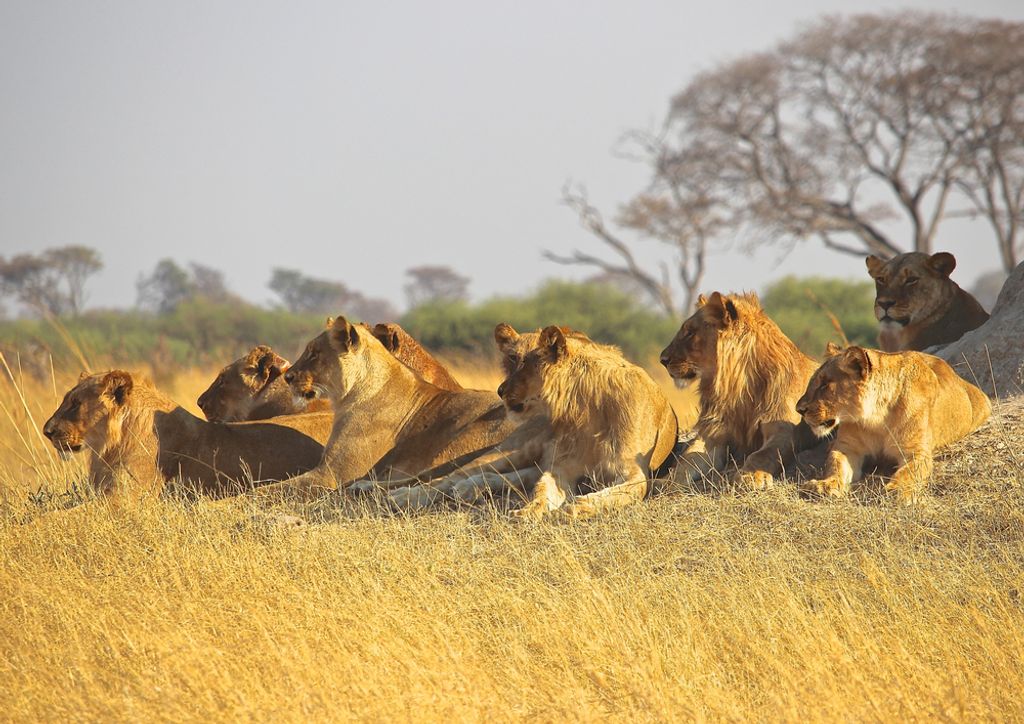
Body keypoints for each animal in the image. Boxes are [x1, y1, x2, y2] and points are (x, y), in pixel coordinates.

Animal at [247, 317, 518, 503]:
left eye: (314, 354)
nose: (288, 377)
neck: (348, 396)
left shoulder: (331, 474)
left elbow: (268, 489)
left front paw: (237, 501)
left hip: (459, 442)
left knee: (441, 479)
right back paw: (364, 488)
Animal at [494, 325, 678, 520]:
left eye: (525, 363)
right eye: (512, 358)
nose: (500, 391)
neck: (587, 406)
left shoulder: (635, 473)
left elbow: (607, 496)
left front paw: (569, 510)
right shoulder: (562, 466)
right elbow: (541, 489)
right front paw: (526, 511)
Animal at [659, 291, 821, 489]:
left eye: (690, 332)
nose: (662, 359)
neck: (738, 388)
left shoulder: (785, 431)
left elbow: (762, 454)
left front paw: (750, 476)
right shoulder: (713, 434)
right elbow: (687, 460)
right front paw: (666, 482)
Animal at [796, 344, 991, 503]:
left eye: (825, 385)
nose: (799, 409)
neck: (876, 418)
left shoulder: (916, 452)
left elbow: (908, 472)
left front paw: (896, 490)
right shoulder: (848, 447)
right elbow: (835, 464)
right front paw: (824, 485)